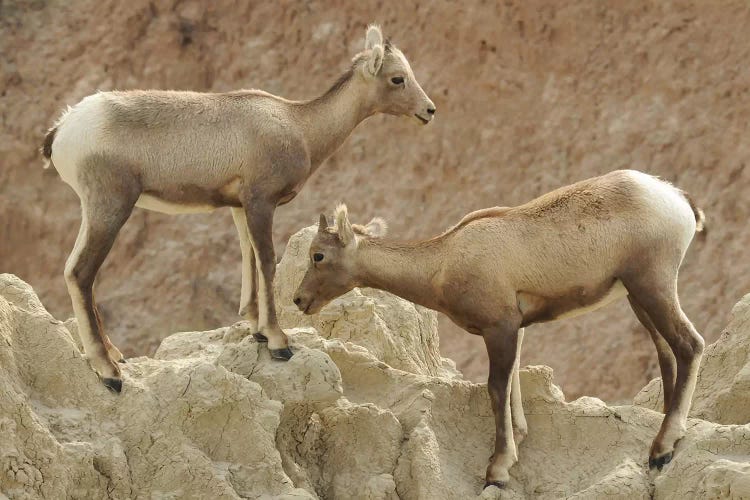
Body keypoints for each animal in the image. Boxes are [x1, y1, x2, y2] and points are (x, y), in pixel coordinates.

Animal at [41, 25, 438, 392]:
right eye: (398, 78)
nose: (429, 110)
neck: (300, 124)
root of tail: (63, 129)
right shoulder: (261, 202)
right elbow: (266, 261)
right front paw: (278, 342)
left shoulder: (239, 208)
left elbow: (248, 257)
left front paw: (257, 329)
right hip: (110, 208)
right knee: (80, 273)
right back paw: (109, 373)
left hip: (95, 212)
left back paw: (114, 355)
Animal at [296, 170, 712, 490]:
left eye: (318, 255)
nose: (300, 300)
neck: (443, 262)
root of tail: (677, 199)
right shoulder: (516, 329)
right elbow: (511, 383)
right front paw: (516, 446)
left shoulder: (501, 328)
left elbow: (496, 388)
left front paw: (496, 470)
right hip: (637, 298)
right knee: (667, 352)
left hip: (652, 285)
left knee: (690, 344)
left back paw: (662, 450)